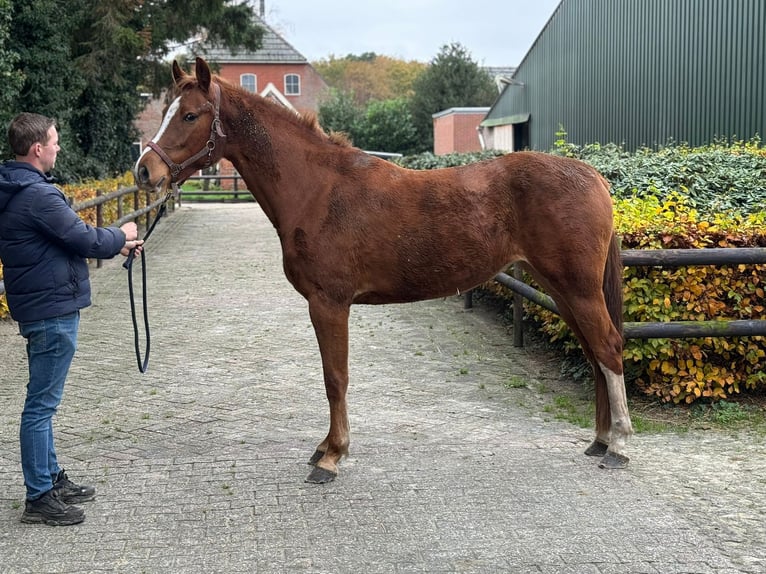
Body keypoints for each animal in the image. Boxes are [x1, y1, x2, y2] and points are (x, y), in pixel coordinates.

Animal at [134, 58, 636, 484]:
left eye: (190, 115)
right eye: (167, 111)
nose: (144, 171)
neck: (318, 190)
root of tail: (593, 176)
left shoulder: (329, 303)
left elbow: (335, 378)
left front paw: (332, 457)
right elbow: (332, 377)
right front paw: (325, 449)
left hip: (578, 289)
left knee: (608, 349)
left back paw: (620, 446)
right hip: (561, 291)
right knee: (595, 354)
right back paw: (599, 441)